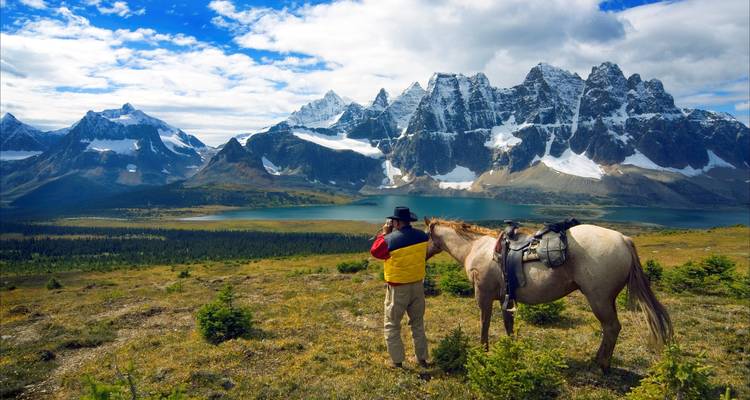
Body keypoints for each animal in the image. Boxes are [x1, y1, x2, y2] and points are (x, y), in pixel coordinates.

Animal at [424, 217, 672, 372]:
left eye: (423, 235)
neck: (475, 248)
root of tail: (624, 239)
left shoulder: (483, 295)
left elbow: (484, 323)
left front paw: (483, 351)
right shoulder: (506, 298)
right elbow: (508, 325)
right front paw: (511, 351)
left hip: (599, 299)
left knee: (612, 328)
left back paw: (601, 365)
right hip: (606, 299)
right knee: (610, 329)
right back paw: (598, 360)